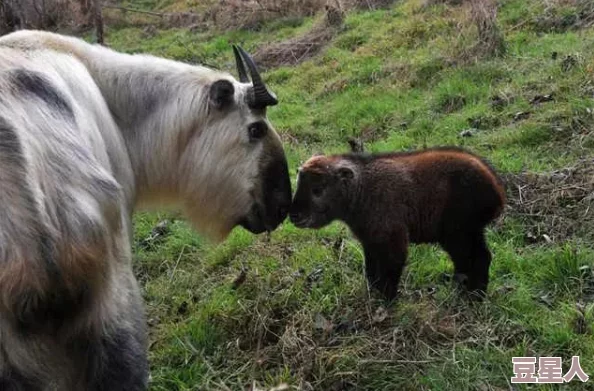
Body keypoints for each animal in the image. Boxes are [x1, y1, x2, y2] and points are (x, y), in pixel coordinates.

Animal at [290, 147, 502, 300]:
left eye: (318, 190)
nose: (294, 216)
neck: (362, 190)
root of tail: (497, 192)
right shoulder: (371, 242)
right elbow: (371, 272)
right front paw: (374, 296)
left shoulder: (392, 239)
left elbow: (390, 271)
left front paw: (386, 301)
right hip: (467, 233)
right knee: (475, 260)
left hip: (459, 233)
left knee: (476, 259)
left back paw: (474, 297)